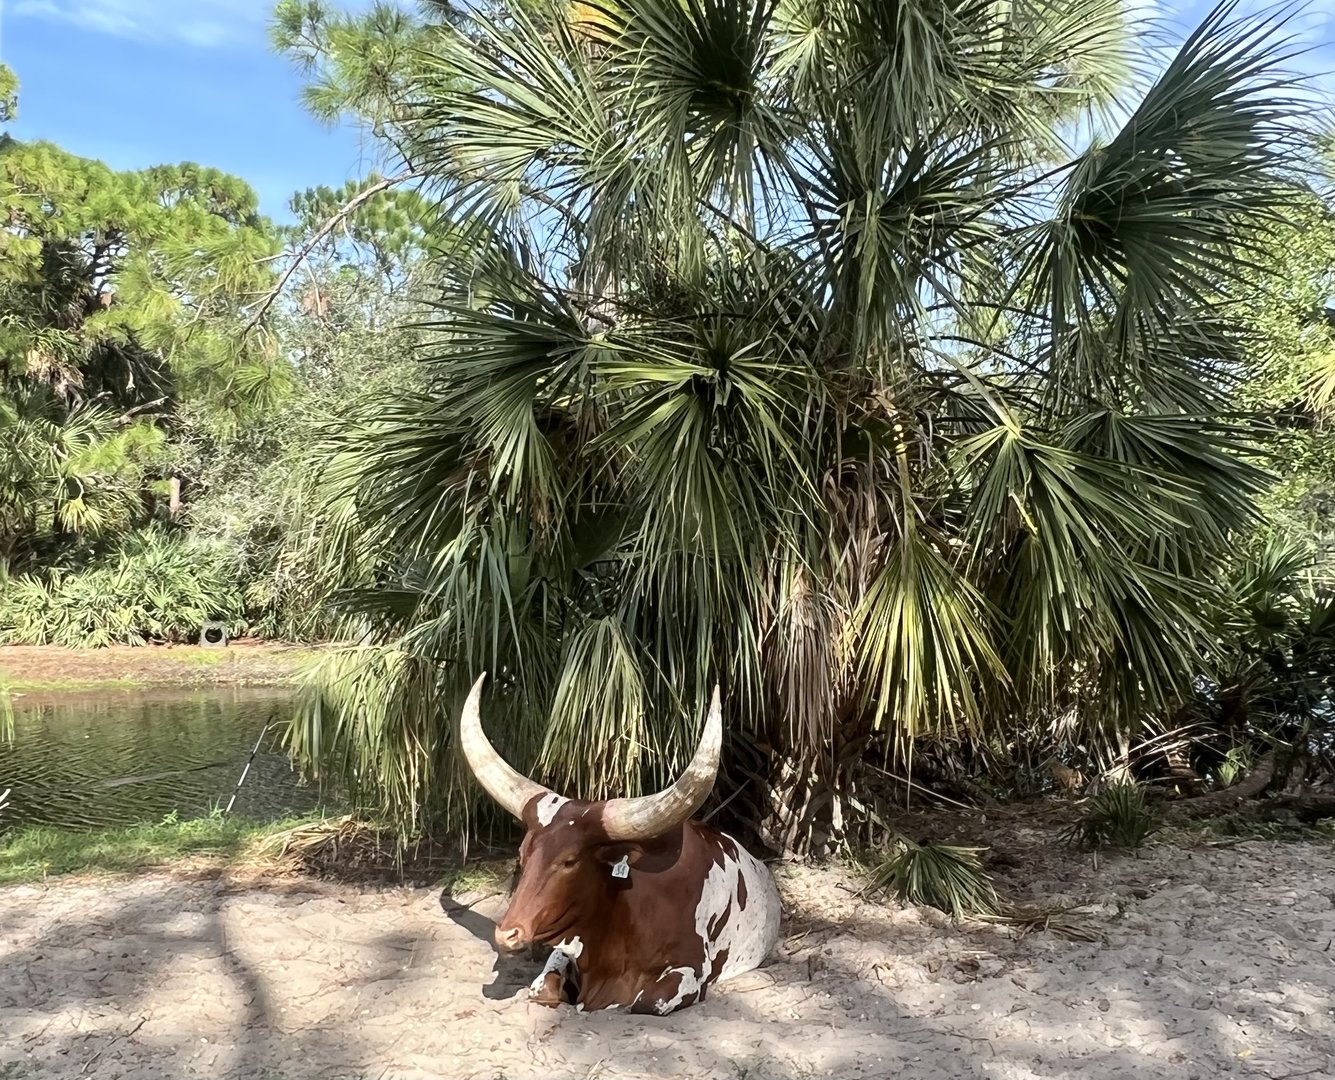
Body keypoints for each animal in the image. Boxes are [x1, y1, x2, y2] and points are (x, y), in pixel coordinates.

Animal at [459, 673, 782, 1015]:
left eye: (569, 861)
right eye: (522, 856)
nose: (507, 932)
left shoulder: (691, 969)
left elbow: (645, 1002)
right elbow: (542, 987)